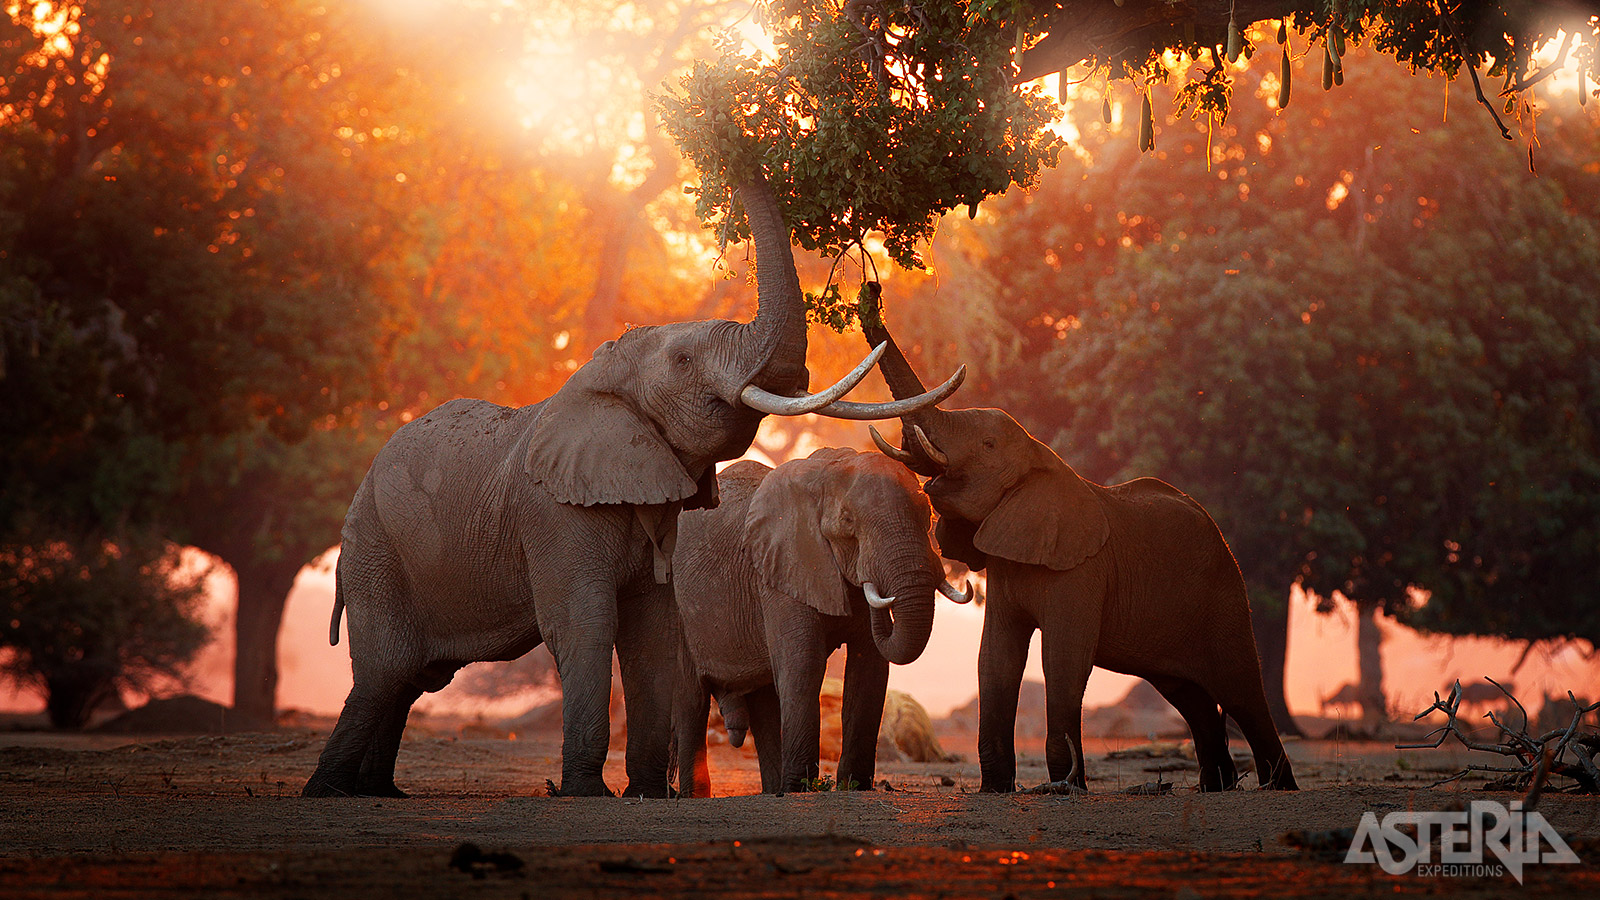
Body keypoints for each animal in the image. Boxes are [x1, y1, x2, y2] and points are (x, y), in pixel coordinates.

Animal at [668, 448, 966, 791]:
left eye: (928, 515)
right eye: (848, 522)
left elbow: (870, 668)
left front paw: (854, 786)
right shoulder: (780, 570)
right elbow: (804, 662)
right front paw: (801, 787)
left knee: (763, 700)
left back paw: (776, 791)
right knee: (692, 701)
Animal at [857, 307, 1292, 791]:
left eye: (988, 445)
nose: (869, 300)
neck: (1040, 457)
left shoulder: (1081, 571)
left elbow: (1062, 660)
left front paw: (1067, 789)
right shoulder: (1008, 563)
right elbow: (995, 659)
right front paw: (996, 790)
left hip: (1224, 594)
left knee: (1241, 691)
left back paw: (1278, 786)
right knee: (1188, 695)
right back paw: (1218, 787)